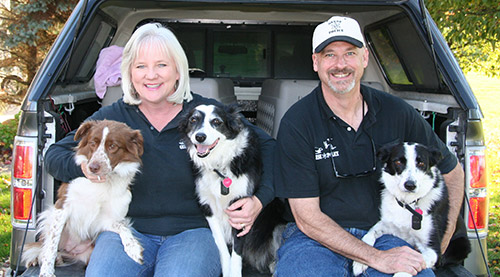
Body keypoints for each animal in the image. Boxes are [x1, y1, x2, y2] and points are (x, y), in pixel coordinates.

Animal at [23, 119, 145, 274]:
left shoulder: (106, 219)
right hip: (48, 216)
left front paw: (133, 249)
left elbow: (123, 228)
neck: (102, 183)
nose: (93, 167)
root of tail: (72, 250)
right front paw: (46, 272)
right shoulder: (62, 207)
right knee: (45, 246)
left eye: (112, 146)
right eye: (93, 143)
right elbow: (51, 245)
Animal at [180, 103, 284, 276]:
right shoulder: (207, 205)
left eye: (216, 121)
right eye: (193, 120)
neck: (220, 165)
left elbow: (237, 248)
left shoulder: (241, 207)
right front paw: (226, 268)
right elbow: (221, 244)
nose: (200, 137)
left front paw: (234, 272)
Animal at [352, 141, 468, 274]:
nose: (410, 185)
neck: (407, 203)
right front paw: (359, 263)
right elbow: (368, 235)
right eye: (398, 162)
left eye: (421, 163)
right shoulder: (387, 224)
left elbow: (409, 266)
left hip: (462, 245)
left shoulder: (433, 251)